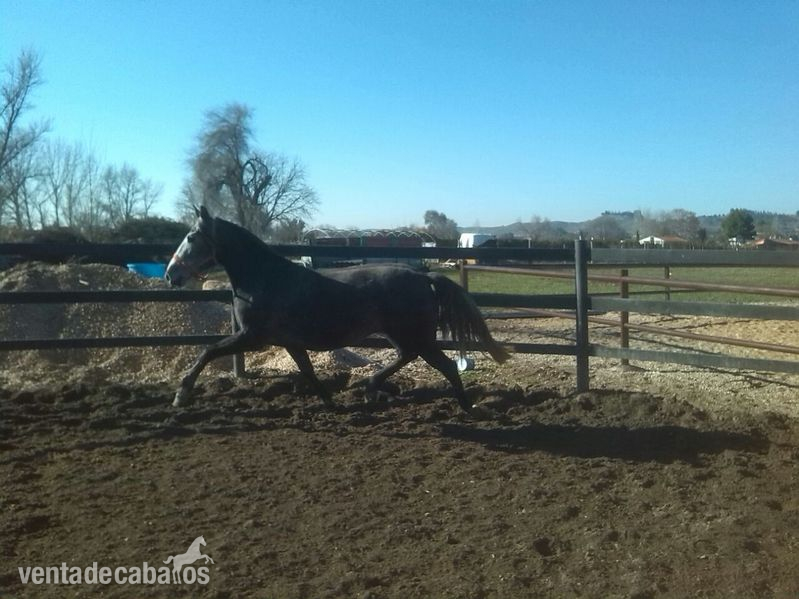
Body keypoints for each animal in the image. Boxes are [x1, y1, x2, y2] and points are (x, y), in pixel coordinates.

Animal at [165, 206, 509, 415]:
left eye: (191, 238)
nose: (171, 275)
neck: (265, 278)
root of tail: (424, 277)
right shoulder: (290, 343)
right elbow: (308, 372)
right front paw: (331, 403)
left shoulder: (252, 337)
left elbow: (207, 351)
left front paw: (181, 395)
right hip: (404, 336)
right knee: (406, 357)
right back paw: (371, 388)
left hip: (418, 338)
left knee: (446, 366)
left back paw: (466, 407)